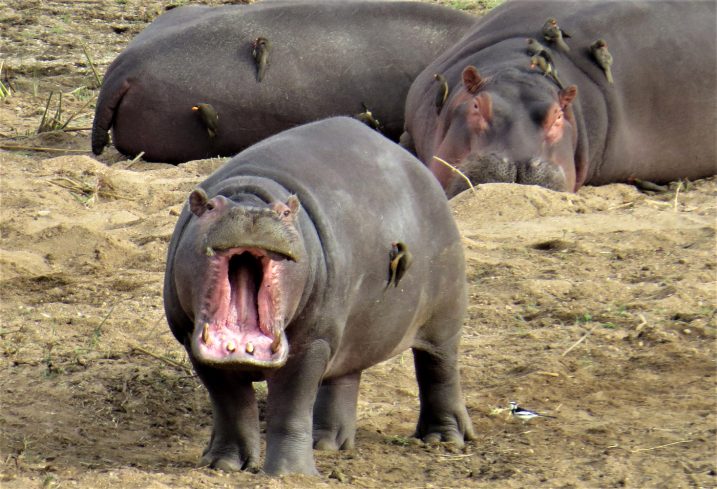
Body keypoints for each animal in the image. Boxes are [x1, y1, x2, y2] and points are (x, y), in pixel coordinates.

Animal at [163, 117, 475, 475]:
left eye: (284, 213)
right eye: (211, 206)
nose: (253, 215)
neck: (250, 191)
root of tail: (420, 169)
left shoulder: (313, 342)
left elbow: (291, 406)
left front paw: (290, 473)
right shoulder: (193, 341)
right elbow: (232, 406)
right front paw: (223, 465)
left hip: (444, 314)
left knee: (439, 369)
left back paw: (443, 439)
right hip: (352, 329)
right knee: (344, 378)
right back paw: (326, 444)